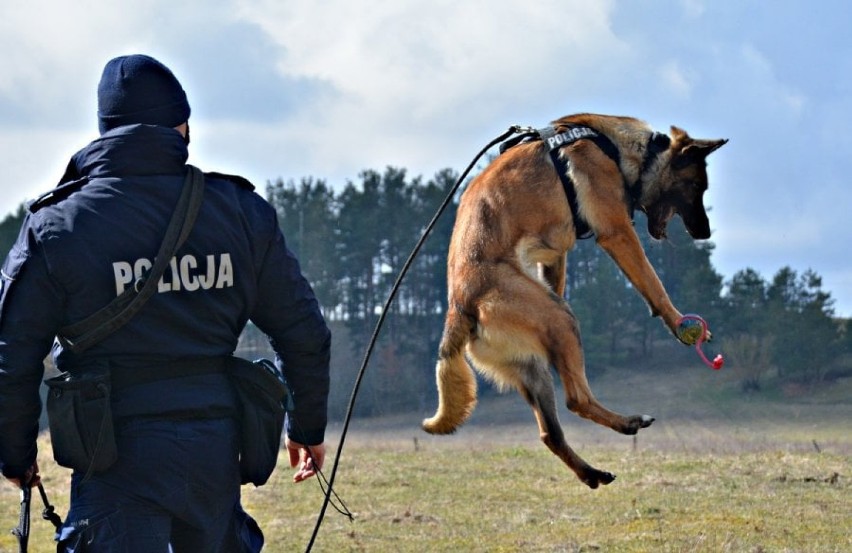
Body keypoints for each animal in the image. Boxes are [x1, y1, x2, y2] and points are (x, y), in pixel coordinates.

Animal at [420, 113, 724, 488]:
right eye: (696, 187)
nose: (705, 233)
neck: (620, 148)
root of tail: (459, 306)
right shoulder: (617, 232)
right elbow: (653, 284)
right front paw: (680, 324)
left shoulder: (556, 254)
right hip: (560, 320)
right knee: (576, 398)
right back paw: (629, 423)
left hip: (532, 363)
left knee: (550, 432)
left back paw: (593, 470)